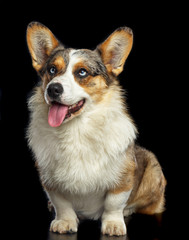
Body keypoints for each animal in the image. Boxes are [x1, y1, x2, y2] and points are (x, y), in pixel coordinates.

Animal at [25, 21, 166, 235]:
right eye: (52, 70)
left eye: (82, 72)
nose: (53, 89)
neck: (76, 129)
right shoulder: (50, 180)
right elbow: (61, 204)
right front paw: (65, 222)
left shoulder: (122, 177)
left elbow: (113, 203)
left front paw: (114, 224)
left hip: (153, 169)